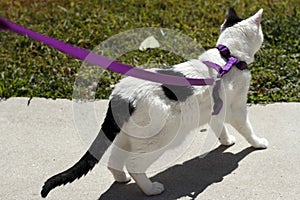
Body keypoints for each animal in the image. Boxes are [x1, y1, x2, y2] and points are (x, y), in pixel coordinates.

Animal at [39, 7, 268, 197]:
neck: (228, 56)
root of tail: (121, 95)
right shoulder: (237, 108)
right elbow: (246, 128)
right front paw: (258, 143)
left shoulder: (216, 109)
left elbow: (218, 126)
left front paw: (226, 140)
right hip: (161, 138)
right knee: (134, 164)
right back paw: (150, 189)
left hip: (126, 136)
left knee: (114, 160)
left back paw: (121, 179)